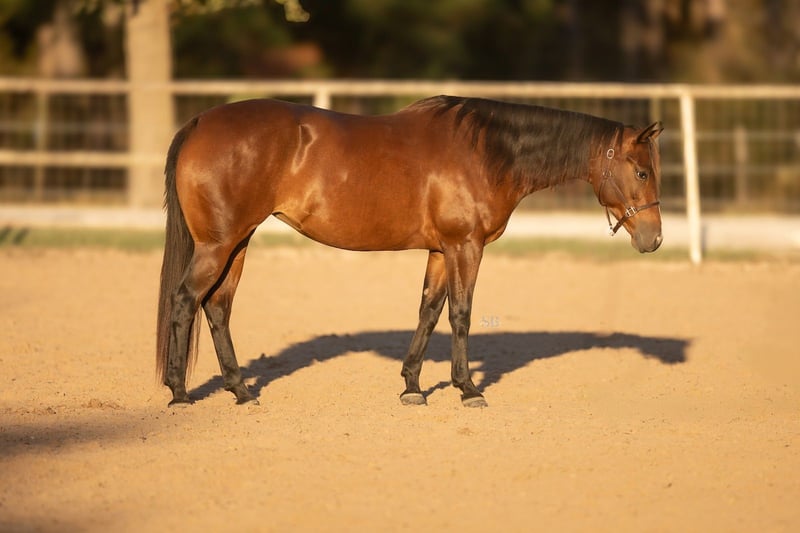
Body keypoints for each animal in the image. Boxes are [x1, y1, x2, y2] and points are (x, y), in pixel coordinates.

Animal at [156, 95, 663, 408]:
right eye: (641, 172)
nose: (653, 239)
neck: (485, 151)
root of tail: (201, 122)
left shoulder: (441, 251)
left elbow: (429, 311)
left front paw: (413, 386)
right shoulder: (465, 247)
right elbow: (460, 313)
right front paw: (468, 388)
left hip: (237, 243)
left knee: (217, 307)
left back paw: (240, 390)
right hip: (218, 245)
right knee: (186, 301)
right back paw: (179, 392)